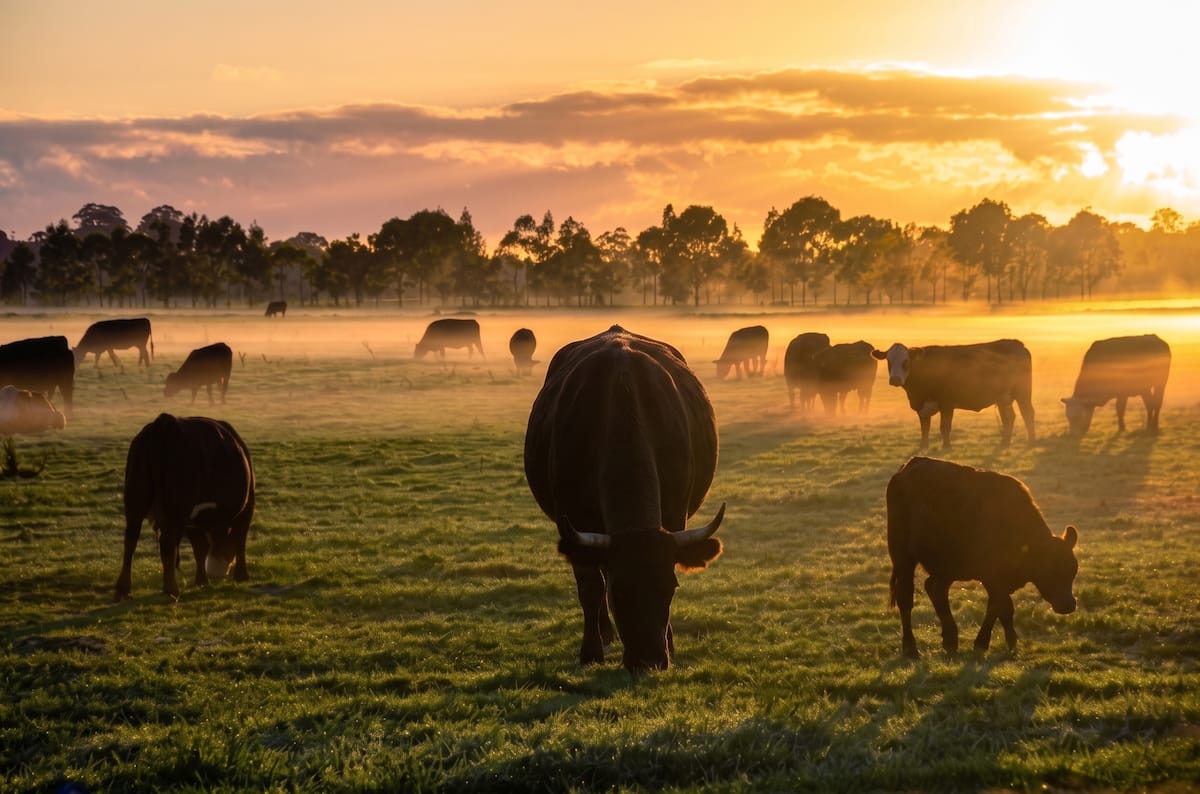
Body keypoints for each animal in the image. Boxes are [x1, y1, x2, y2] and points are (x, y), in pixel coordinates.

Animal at [114, 413, 255, 600]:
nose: (218, 573)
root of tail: (166, 422)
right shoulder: (246, 509)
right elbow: (239, 541)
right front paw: (241, 576)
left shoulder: (192, 521)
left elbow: (200, 548)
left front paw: (201, 580)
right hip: (174, 509)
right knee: (166, 543)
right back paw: (171, 589)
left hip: (135, 501)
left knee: (130, 541)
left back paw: (123, 588)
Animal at [524, 325, 726, 673]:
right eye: (620, 593)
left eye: (670, 588)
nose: (650, 661)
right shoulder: (575, 522)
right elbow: (592, 588)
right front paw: (591, 651)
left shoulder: (675, 515)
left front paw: (671, 643)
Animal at [872, 339, 1035, 450]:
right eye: (888, 361)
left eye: (906, 361)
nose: (895, 379)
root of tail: (1017, 344)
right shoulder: (922, 407)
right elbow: (925, 428)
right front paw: (923, 447)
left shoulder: (947, 404)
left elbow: (944, 427)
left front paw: (946, 447)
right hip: (1003, 397)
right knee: (1009, 417)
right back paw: (1004, 444)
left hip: (1023, 393)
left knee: (1027, 413)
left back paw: (1030, 442)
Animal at [886, 456, 1079, 658]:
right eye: (1049, 572)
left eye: (1073, 570)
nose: (1068, 605)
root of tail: (911, 464)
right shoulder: (992, 578)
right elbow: (1001, 607)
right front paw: (990, 643)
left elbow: (999, 608)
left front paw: (1003, 642)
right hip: (902, 556)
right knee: (906, 597)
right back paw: (910, 647)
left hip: (948, 566)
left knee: (935, 588)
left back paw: (950, 640)